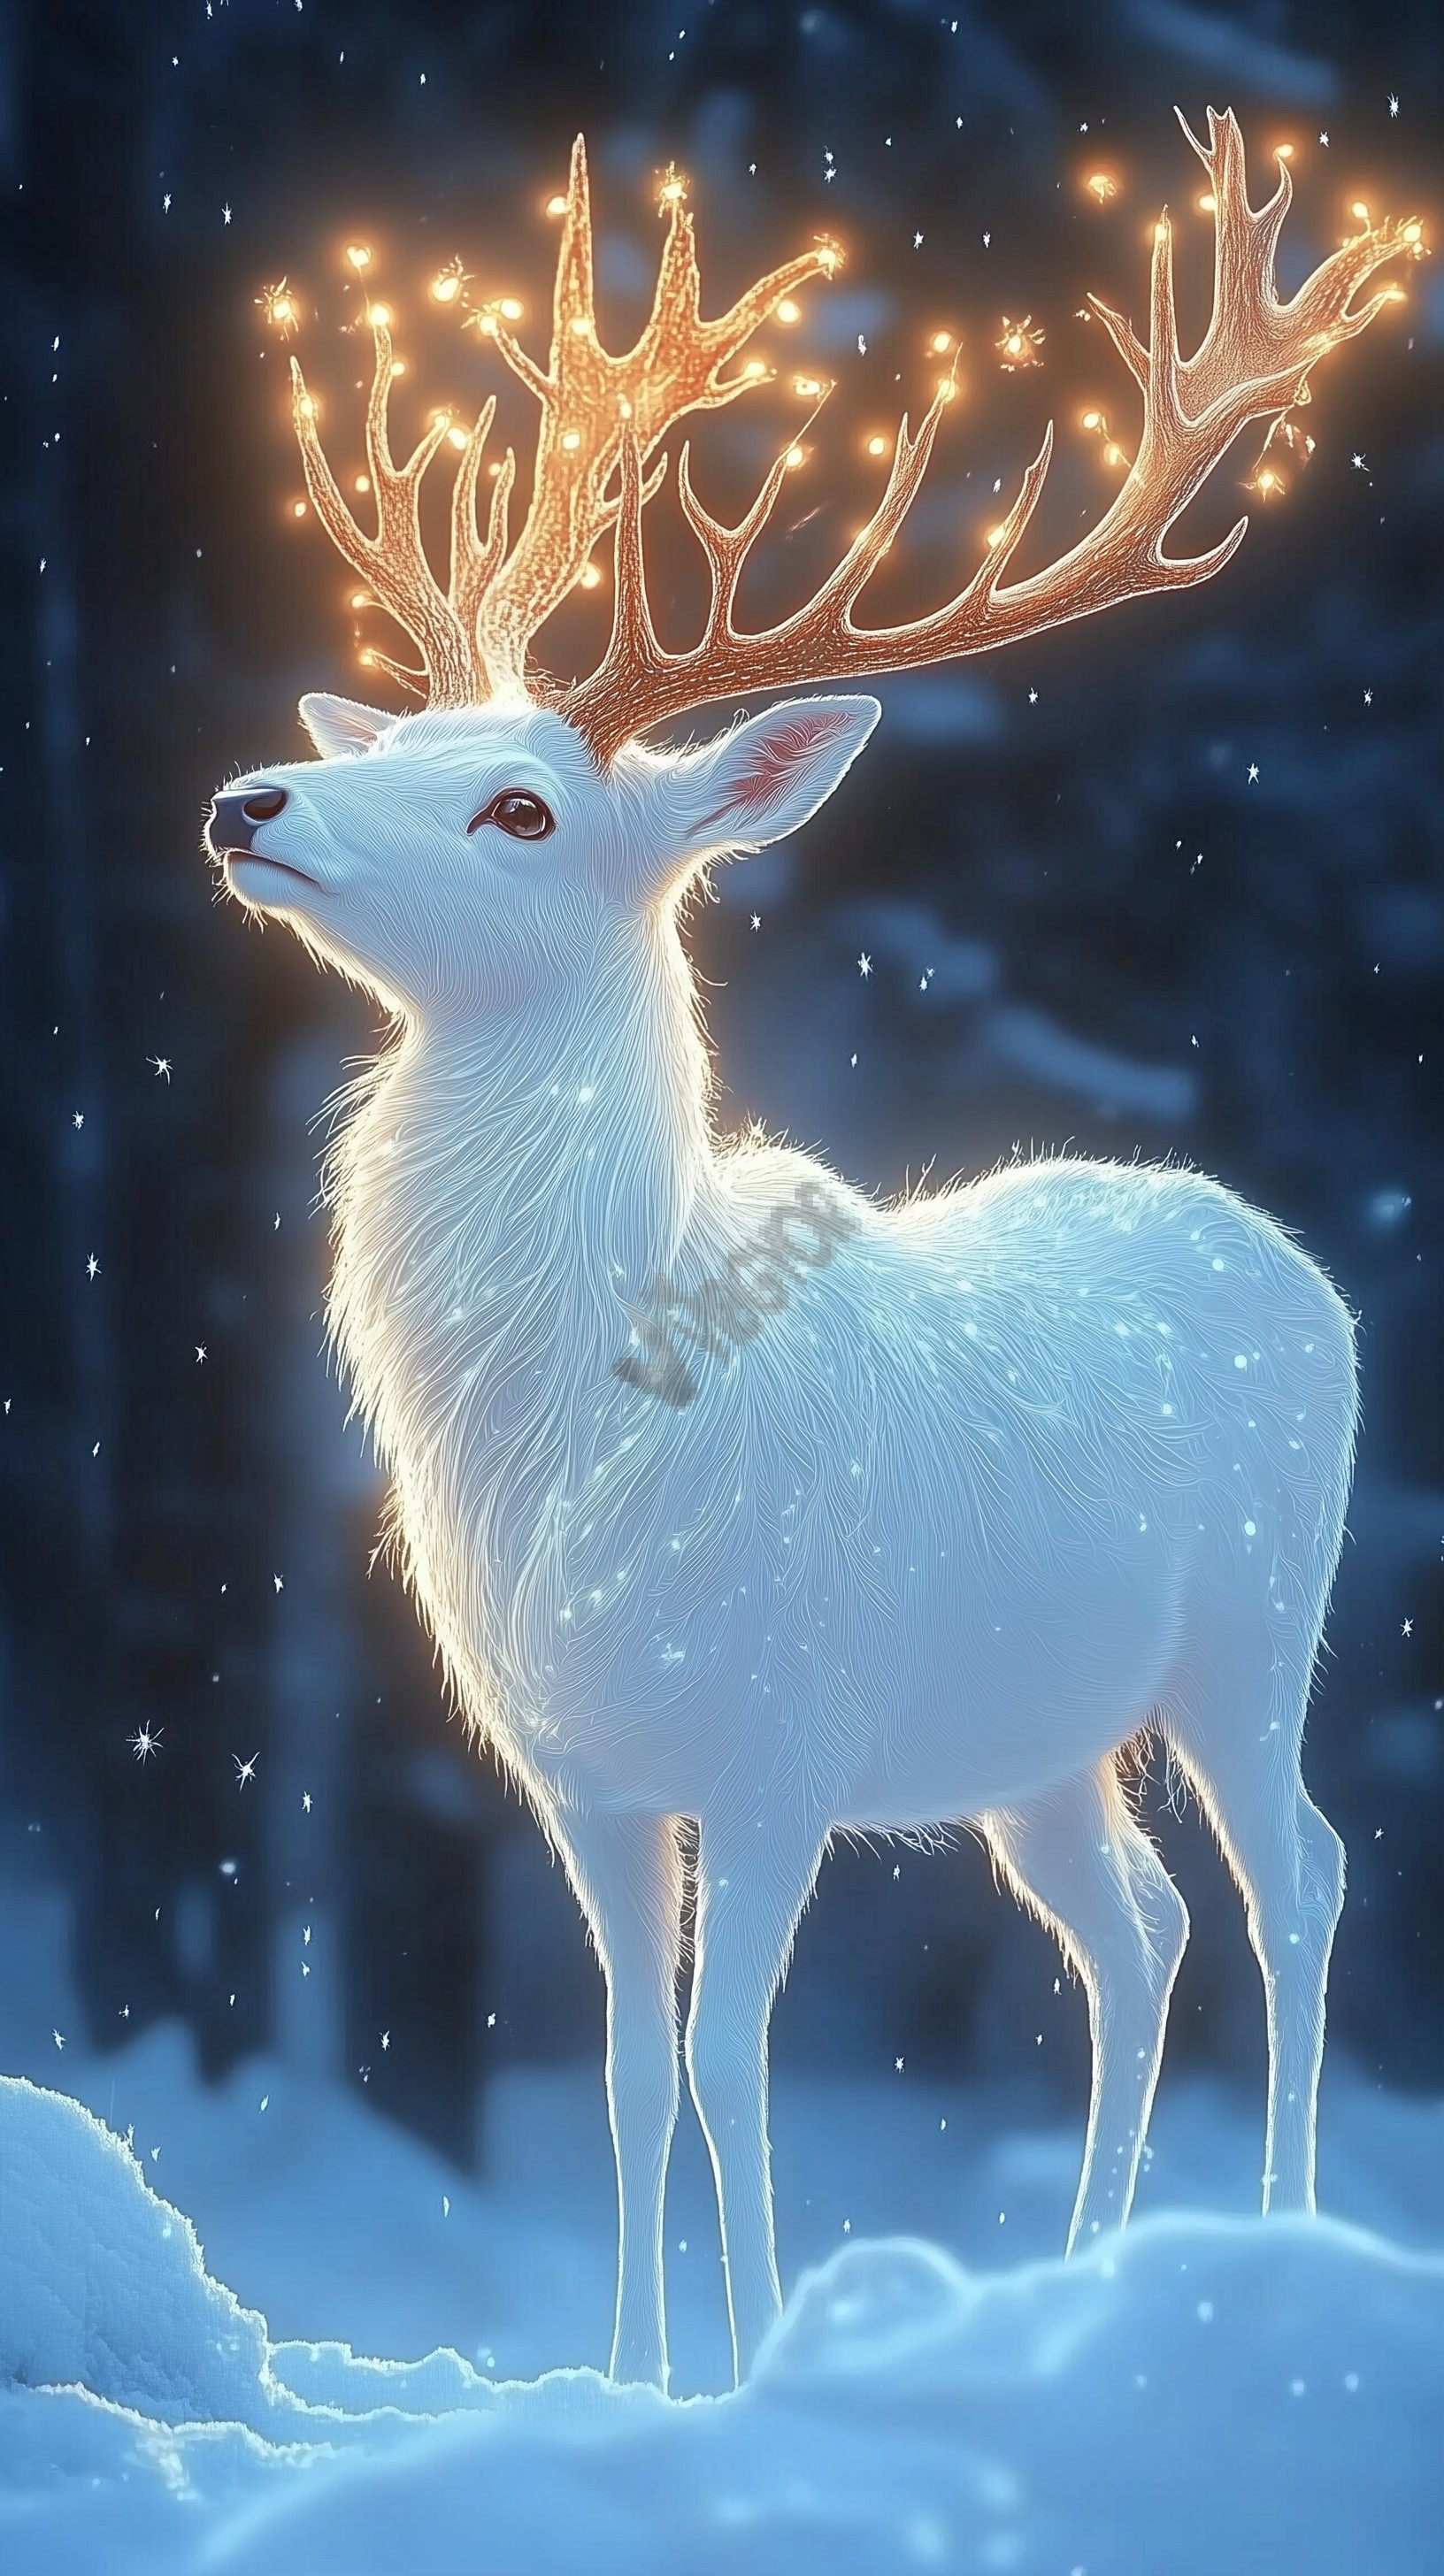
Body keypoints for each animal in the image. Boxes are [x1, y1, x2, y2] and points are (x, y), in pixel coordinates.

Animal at [206, 111, 1418, 2390]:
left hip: (1254, 1621)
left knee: (1299, 1877)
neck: (586, 1438)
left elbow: (726, 2067)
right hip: (1040, 1736)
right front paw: (621, 2382)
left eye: (521, 807)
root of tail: (1271, 1242)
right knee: (1137, 1927)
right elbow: (614, 2075)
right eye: (381, 746)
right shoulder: (580, 1773)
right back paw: (1079, 2277)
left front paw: (757, 2366)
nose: (249, 800)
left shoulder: (781, 1733)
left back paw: (1281, 2240)